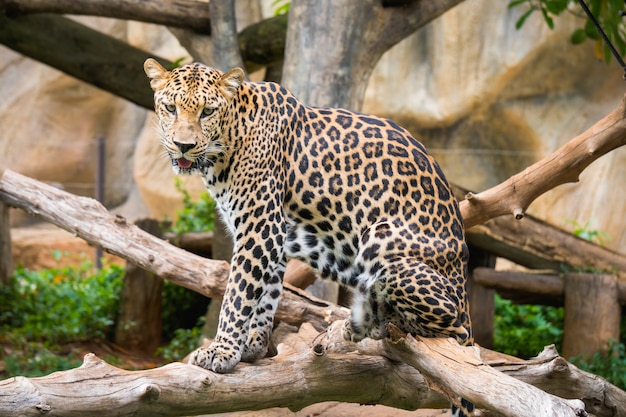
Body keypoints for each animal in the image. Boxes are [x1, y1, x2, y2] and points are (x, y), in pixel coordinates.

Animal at [144, 59, 470, 416]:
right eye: (170, 108)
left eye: (207, 112)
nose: (183, 145)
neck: (230, 140)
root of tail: (464, 284)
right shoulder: (276, 234)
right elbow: (267, 293)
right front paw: (253, 346)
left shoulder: (259, 227)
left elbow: (238, 294)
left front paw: (222, 351)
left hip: (381, 237)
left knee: (449, 326)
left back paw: (379, 320)